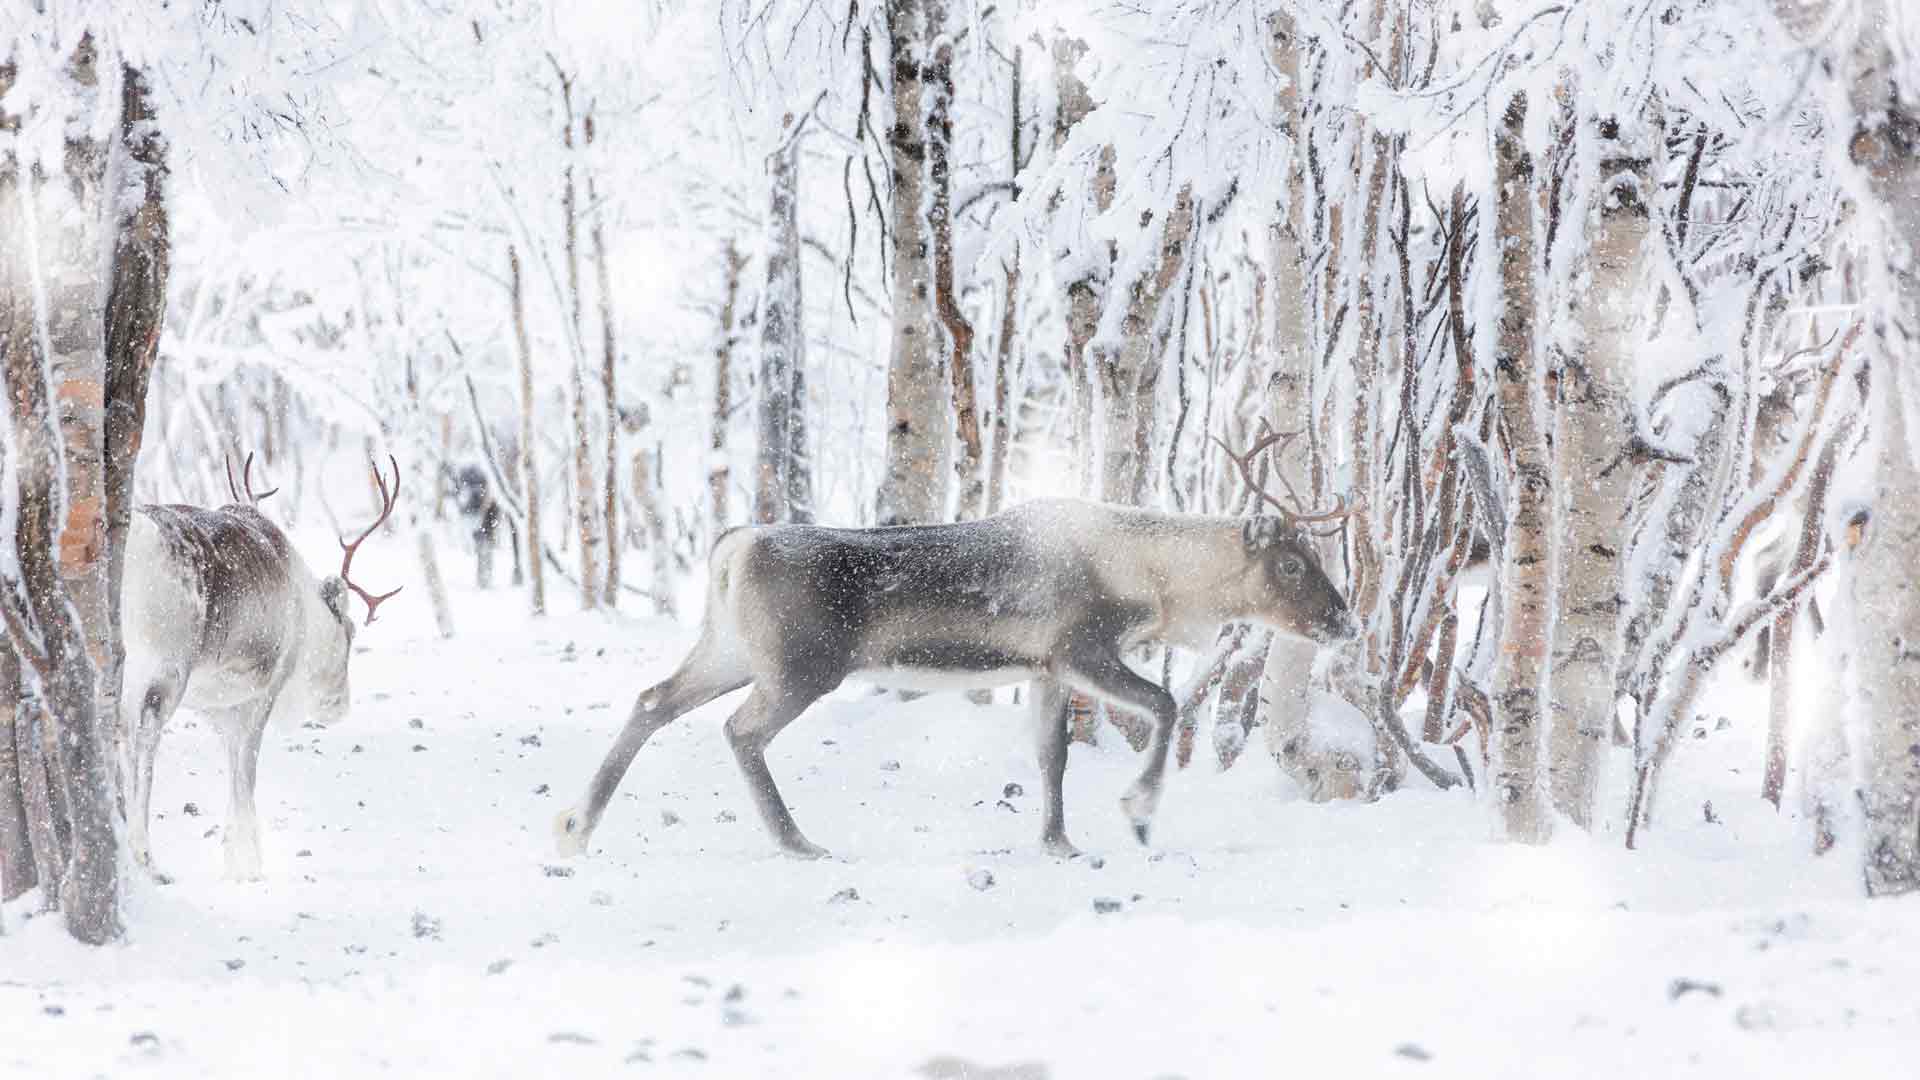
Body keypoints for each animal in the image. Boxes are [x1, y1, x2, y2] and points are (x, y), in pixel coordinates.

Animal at [119, 454, 403, 881]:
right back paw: (145, 857)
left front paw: (234, 858)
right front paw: (250, 866)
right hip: (162, 668)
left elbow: (234, 773)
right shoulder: (264, 692)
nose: (339, 705)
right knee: (143, 739)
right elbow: (246, 776)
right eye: (349, 631)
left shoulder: (219, 708)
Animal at [554, 451, 1360, 861]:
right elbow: (1162, 705)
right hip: (800, 667)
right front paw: (1137, 813)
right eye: (1292, 564)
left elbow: (1051, 757)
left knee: (653, 700)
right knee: (739, 731)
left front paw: (1058, 842)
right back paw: (797, 842)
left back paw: (575, 828)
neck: (1155, 580)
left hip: (730, 651)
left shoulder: (1046, 668)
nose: (1345, 622)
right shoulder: (1081, 646)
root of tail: (731, 546)